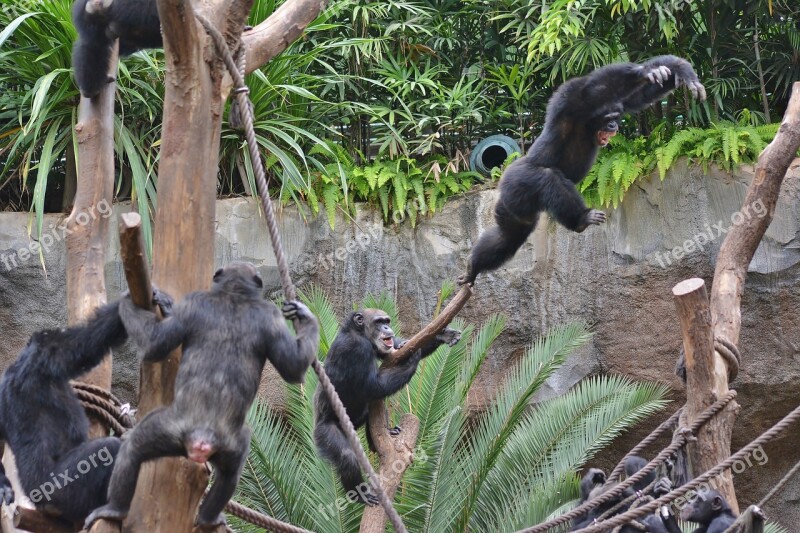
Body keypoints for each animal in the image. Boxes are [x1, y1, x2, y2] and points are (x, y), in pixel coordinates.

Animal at [82, 262, 318, 528]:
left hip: (167, 428)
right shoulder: (273, 318)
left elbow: (155, 345)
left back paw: (114, 508)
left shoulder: (193, 303)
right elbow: (294, 368)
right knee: (230, 475)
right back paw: (208, 519)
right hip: (233, 445)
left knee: (132, 449)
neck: (234, 293)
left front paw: (129, 302)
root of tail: (203, 437)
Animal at [314, 308, 462, 502]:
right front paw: (413, 358)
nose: (385, 327)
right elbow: (373, 386)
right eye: (378, 322)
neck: (358, 332)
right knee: (347, 457)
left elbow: (393, 352)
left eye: (387, 321)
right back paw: (360, 494)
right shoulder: (357, 348)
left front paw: (443, 334)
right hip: (324, 431)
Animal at [456, 55, 708, 284]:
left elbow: (643, 95)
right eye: (609, 118)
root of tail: (502, 181)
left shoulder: (623, 102)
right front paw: (645, 71)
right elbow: (587, 88)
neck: (588, 124)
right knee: (548, 179)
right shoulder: (571, 105)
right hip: (518, 180)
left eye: (617, 116)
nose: (614, 125)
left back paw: (473, 267)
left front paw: (682, 71)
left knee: (507, 237)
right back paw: (581, 219)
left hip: (514, 208)